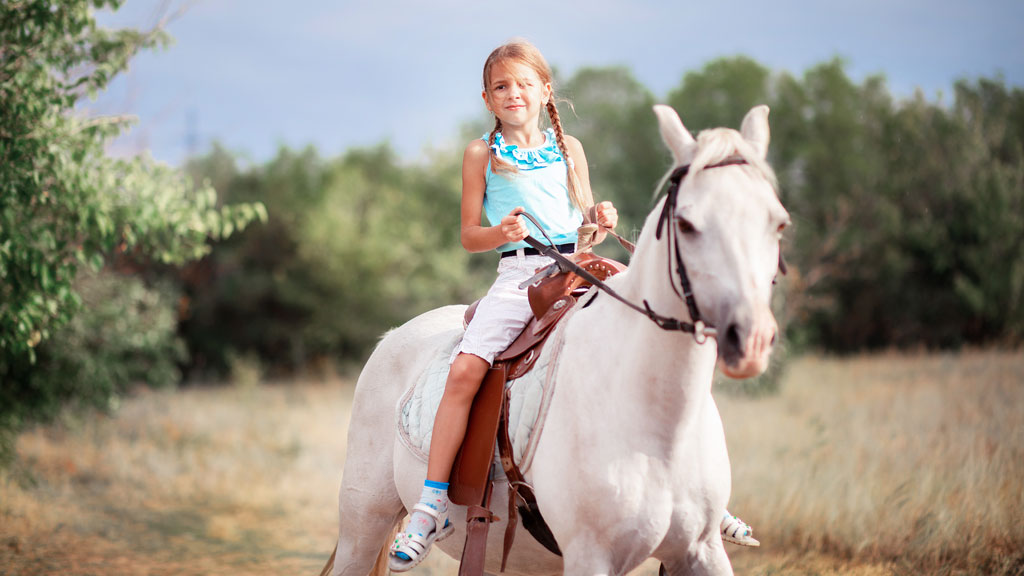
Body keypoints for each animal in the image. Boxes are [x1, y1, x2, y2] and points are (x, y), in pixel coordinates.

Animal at [323, 104, 786, 573]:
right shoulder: (590, 554)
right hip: (363, 526)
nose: (751, 339)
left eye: (779, 222)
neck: (658, 424)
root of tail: (392, 336)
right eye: (687, 225)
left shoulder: (700, 551)